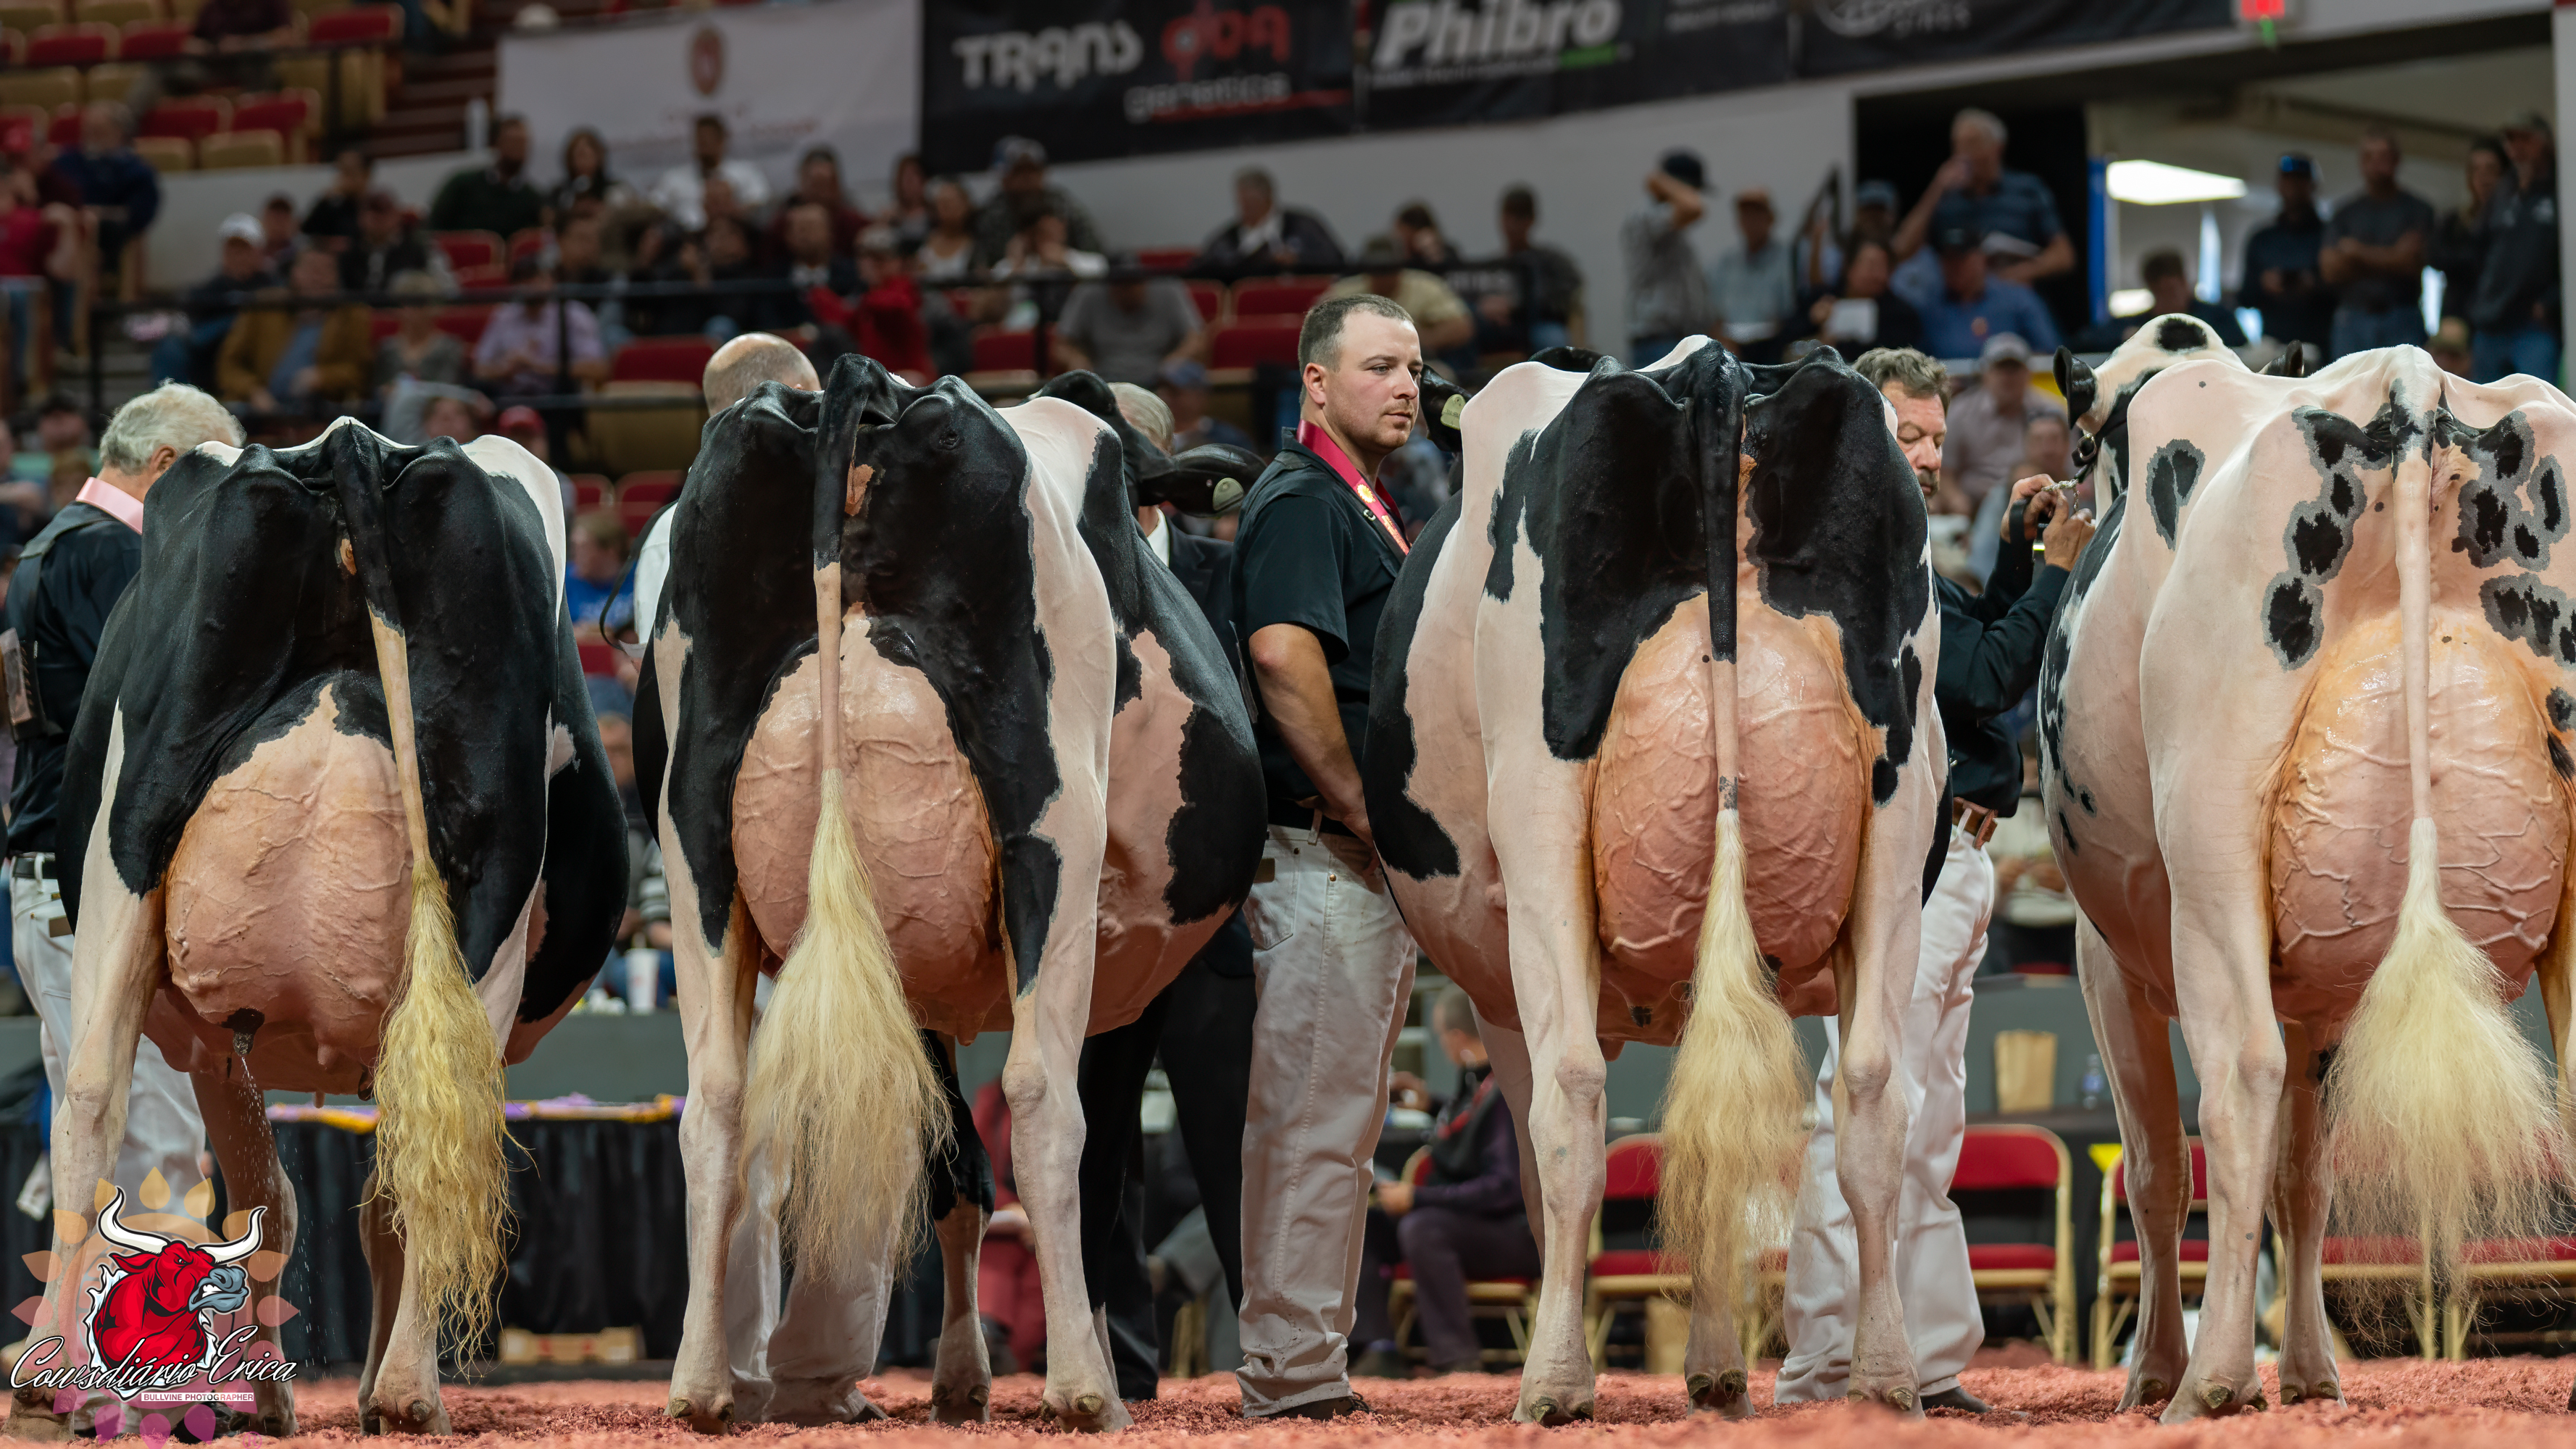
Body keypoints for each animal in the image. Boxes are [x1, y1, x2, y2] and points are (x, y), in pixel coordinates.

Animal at [6, 419, 629, 1439]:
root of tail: (354, 442)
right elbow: (339, 1200)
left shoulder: (216, 1036)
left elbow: (272, 1201)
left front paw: (273, 1390)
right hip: (485, 900)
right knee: (438, 1132)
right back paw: (409, 1388)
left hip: (122, 871)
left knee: (90, 1096)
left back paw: (45, 1376)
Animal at [631, 357, 1264, 1433]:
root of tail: (863, 392)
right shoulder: (1120, 963)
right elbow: (1091, 1170)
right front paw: (1065, 1365)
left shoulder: (917, 968)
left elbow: (953, 1162)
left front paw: (962, 1376)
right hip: (1049, 832)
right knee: (1045, 1101)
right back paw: (1084, 1390)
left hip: (696, 844)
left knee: (715, 1097)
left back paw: (704, 1383)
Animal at [1363, 340, 1944, 1420]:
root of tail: (1715, 370)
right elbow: (1705, 1146)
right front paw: (1716, 1364)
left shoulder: (1501, 998)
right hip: (1896, 818)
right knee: (1873, 1092)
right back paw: (1884, 1377)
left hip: (1542, 819)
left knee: (1571, 1103)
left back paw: (1551, 1382)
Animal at [2041, 343, 2576, 1421]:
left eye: (2079, 451)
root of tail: (2411, 383)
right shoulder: (2324, 984)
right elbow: (2308, 1176)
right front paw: (2310, 1372)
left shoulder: (2103, 956)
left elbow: (2157, 1170)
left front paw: (2155, 1369)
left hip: (2210, 848)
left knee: (2238, 1077)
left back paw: (2205, 1384)